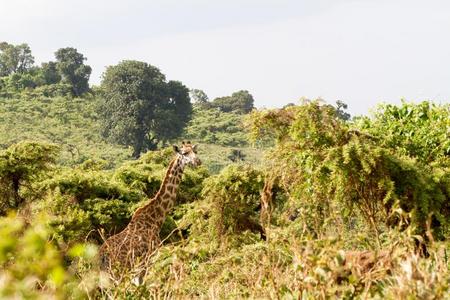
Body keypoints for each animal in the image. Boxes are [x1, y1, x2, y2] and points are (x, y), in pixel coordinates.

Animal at [100, 142, 202, 278]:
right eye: (184, 153)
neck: (156, 218)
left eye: (195, 151)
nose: (198, 161)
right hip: (118, 270)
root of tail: (100, 257)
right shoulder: (150, 258)